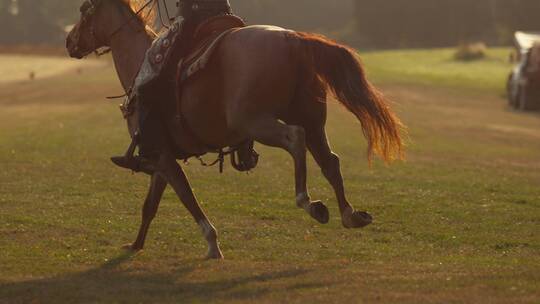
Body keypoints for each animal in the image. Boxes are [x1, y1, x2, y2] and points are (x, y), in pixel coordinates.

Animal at [65, 0, 402, 258]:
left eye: (84, 9)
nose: (69, 42)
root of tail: (292, 39)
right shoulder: (161, 161)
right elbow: (150, 206)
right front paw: (135, 245)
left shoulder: (161, 157)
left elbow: (187, 198)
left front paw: (212, 244)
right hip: (312, 119)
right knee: (330, 161)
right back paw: (350, 214)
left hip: (255, 120)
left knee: (295, 139)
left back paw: (308, 201)